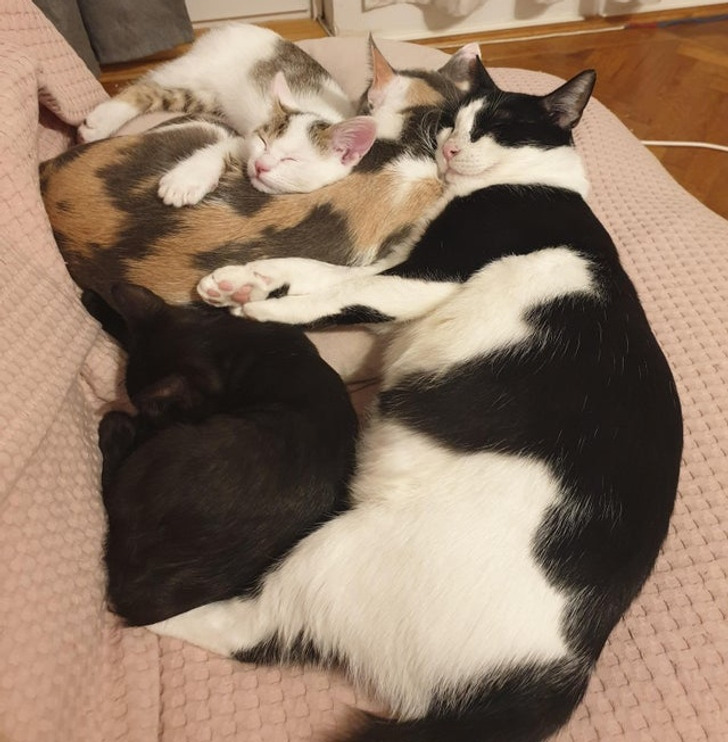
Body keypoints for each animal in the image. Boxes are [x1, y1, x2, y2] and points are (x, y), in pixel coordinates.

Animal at [79, 23, 378, 199]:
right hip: (197, 68)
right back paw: (100, 121)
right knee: (145, 85)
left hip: (207, 98)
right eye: (264, 142)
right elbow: (226, 146)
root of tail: (230, 26)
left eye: (292, 160)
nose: (260, 165)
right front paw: (187, 179)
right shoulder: (248, 138)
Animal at [83, 282, 358, 626]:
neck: (233, 346)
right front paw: (93, 299)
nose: (146, 422)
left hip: (159, 457)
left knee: (113, 492)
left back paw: (114, 427)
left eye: (161, 411)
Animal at [150, 60, 684, 742]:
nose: (451, 149)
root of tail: (562, 670)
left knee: (250, 629)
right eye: (451, 122)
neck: (534, 185)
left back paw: (148, 618)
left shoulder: (428, 278)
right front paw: (247, 278)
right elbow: (325, 270)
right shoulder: (401, 261)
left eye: (497, 126)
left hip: (333, 552)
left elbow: (340, 293)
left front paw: (264, 308)